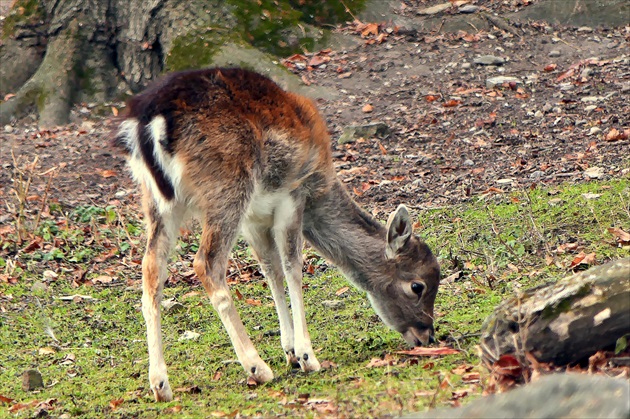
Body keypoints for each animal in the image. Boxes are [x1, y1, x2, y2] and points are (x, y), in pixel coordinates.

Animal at [112, 67, 440, 402]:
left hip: (157, 200)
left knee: (151, 268)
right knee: (206, 263)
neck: (320, 187)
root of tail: (148, 122)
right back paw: (256, 367)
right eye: (418, 286)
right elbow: (293, 267)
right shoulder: (292, 195)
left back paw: (160, 384)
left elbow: (271, 270)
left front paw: (291, 352)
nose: (428, 334)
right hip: (227, 187)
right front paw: (307, 356)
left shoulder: (254, 220)